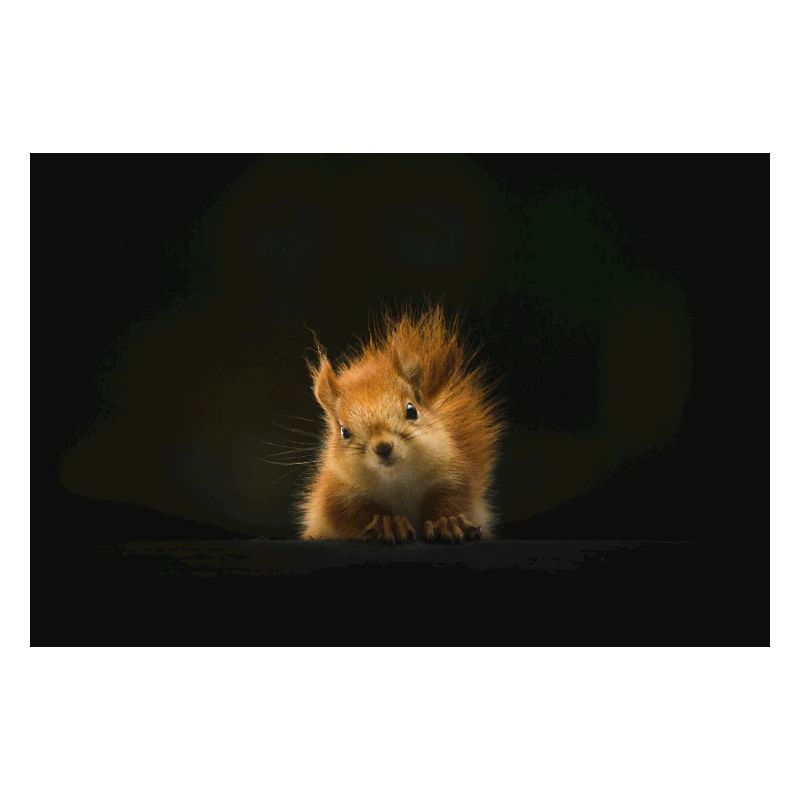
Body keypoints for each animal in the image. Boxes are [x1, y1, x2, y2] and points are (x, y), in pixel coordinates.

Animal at [299, 305, 503, 544]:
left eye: (412, 410)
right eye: (344, 431)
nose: (383, 447)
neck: (397, 480)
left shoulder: (452, 475)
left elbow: (451, 500)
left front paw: (447, 522)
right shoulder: (337, 493)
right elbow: (353, 513)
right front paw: (387, 523)